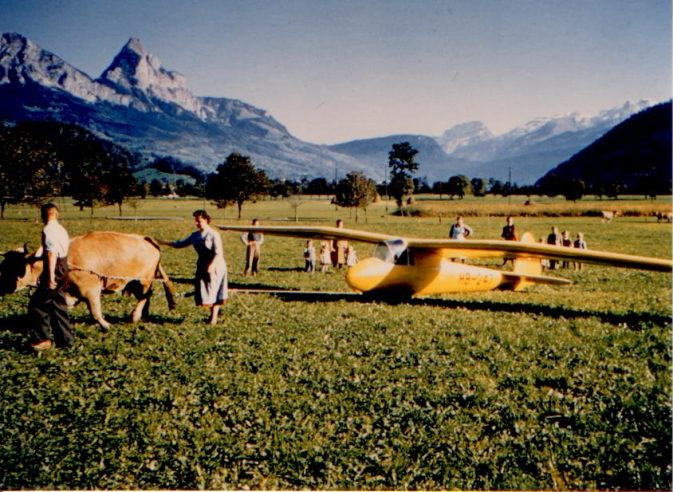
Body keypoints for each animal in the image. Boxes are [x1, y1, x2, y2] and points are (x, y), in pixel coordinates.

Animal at [0, 231, 176, 330]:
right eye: (4, 266)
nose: (4, 287)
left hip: (143, 279)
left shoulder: (91, 290)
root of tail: (146, 239)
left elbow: (95, 313)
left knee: (144, 296)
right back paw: (143, 315)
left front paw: (105, 325)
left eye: (17, 268)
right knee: (146, 296)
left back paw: (135, 316)